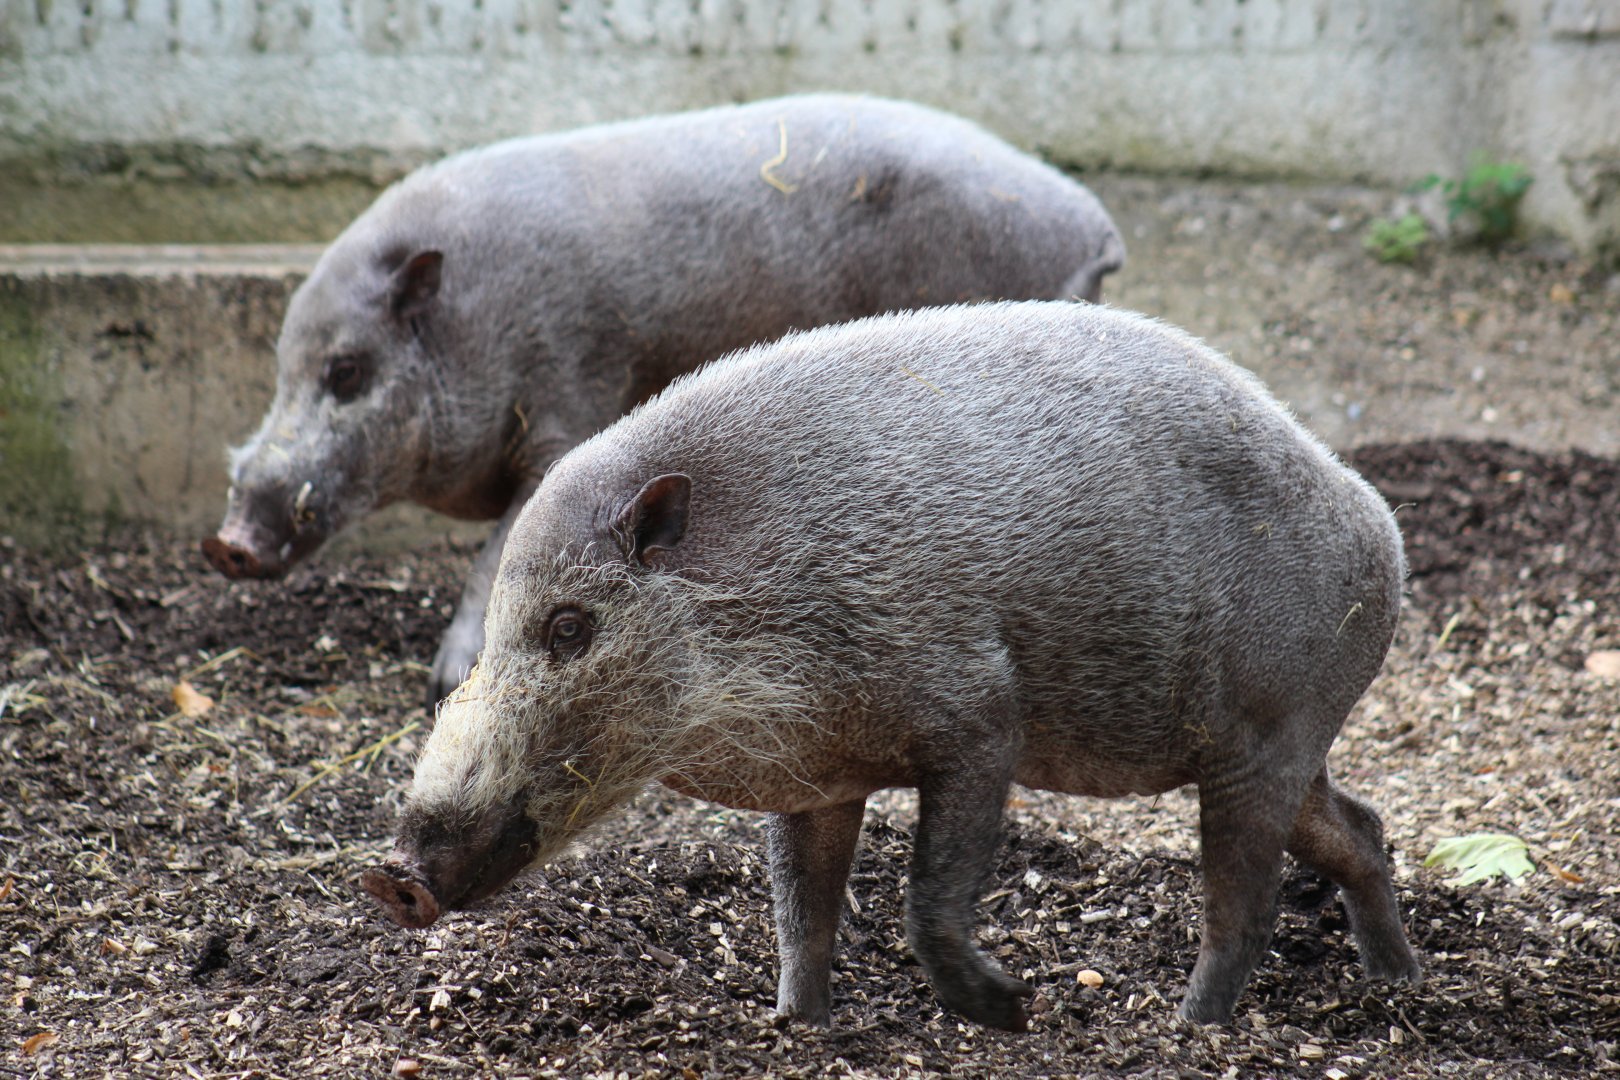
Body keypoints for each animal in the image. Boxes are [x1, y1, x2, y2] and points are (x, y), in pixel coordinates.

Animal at [200, 93, 1127, 704]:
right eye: (282, 368)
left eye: (347, 372)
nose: (228, 542)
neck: (478, 326)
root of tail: (1096, 224)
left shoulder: (567, 403)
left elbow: (498, 551)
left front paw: (444, 680)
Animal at [361, 301, 1422, 1030]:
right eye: (499, 628)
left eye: (571, 627)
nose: (392, 877)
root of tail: (1382, 531)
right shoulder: (815, 778)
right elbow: (801, 906)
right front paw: (796, 1023)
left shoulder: (981, 717)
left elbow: (926, 896)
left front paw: (1014, 1012)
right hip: (1287, 754)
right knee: (1360, 827)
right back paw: (1396, 979)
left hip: (1263, 743)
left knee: (1246, 903)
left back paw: (1187, 1027)